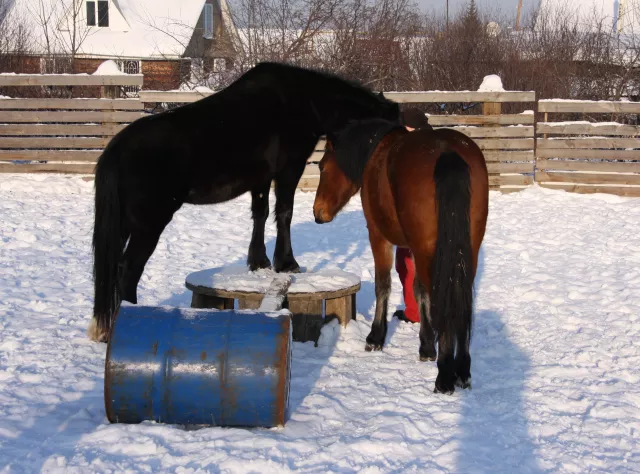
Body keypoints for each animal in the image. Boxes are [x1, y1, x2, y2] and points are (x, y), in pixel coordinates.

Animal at [91, 62, 401, 343]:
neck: (304, 100)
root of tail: (117, 149)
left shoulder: (261, 179)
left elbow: (260, 214)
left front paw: (259, 262)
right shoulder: (289, 170)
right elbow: (284, 213)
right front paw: (287, 263)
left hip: (125, 225)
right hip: (148, 225)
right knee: (128, 270)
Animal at [313, 118, 489, 394]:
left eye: (322, 166)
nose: (317, 212)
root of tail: (447, 152)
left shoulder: (379, 236)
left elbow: (383, 285)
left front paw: (376, 337)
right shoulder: (414, 248)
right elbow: (419, 291)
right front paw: (426, 345)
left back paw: (444, 376)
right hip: (466, 251)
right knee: (461, 302)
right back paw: (462, 370)